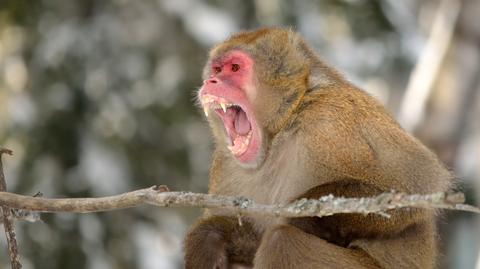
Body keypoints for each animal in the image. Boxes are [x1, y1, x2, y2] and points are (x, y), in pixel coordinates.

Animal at [183, 27, 450, 268]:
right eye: (217, 69)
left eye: (235, 68)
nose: (211, 81)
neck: (283, 128)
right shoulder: (225, 163)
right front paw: (214, 237)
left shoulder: (330, 121)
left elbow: (418, 187)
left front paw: (304, 218)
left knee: (283, 243)